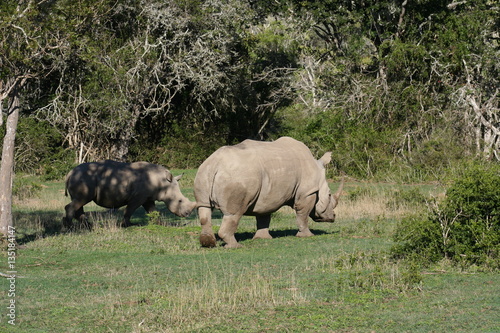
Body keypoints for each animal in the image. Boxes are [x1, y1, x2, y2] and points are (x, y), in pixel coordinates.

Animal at [63, 160, 195, 228]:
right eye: (180, 201)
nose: (187, 214)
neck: (162, 182)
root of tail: (69, 173)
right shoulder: (138, 197)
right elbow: (129, 210)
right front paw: (127, 225)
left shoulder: (147, 197)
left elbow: (153, 211)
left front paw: (160, 223)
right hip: (84, 178)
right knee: (81, 200)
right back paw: (70, 227)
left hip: (81, 178)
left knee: (79, 202)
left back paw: (87, 226)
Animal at [194, 135, 344, 246]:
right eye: (329, 194)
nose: (333, 217)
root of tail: (216, 163)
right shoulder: (308, 191)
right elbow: (303, 214)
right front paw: (307, 236)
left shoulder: (268, 195)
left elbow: (264, 215)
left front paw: (262, 238)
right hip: (238, 175)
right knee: (234, 213)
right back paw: (235, 246)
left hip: (204, 171)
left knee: (204, 206)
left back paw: (208, 243)